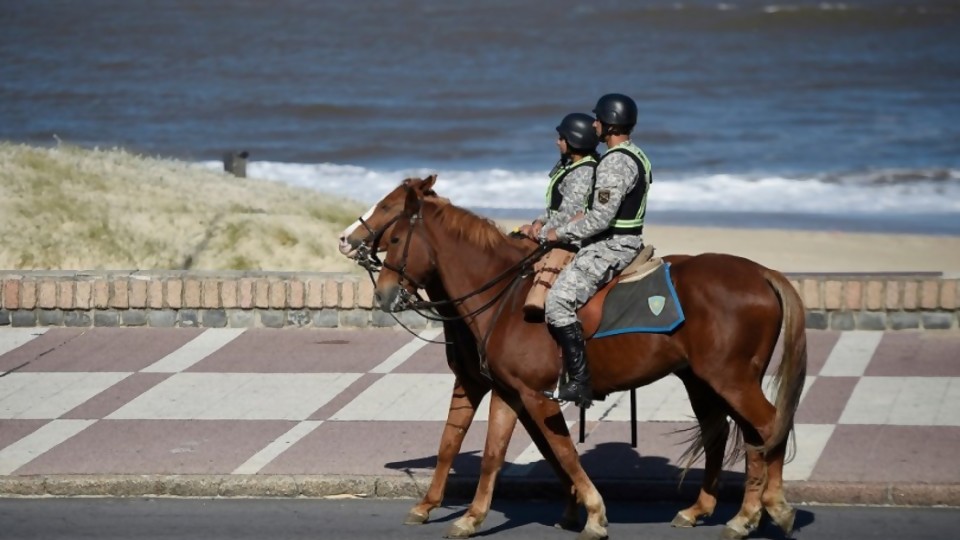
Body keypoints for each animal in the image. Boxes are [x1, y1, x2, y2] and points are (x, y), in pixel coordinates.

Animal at [342, 177, 808, 540]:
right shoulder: (506, 391)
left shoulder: (534, 395)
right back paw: (720, 512)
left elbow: (563, 451)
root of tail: (762, 272)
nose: (383, 294)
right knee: (736, 435)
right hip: (705, 380)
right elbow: (487, 451)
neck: (506, 296)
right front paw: (471, 516)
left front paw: (593, 513)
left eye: (394, 229)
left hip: (731, 379)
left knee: (768, 426)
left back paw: (764, 510)